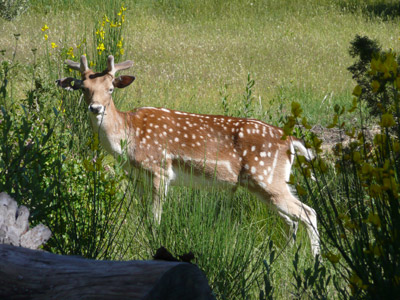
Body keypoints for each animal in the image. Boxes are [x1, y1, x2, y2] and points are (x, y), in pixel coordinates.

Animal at [56, 55, 320, 255]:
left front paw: (154, 241)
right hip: (265, 184)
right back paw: (285, 256)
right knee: (291, 220)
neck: (127, 139)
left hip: (268, 177)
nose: (96, 108)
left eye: (110, 89)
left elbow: (155, 217)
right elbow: (143, 216)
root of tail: (292, 141)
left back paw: (315, 261)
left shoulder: (159, 169)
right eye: (84, 89)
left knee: (309, 213)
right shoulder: (137, 177)